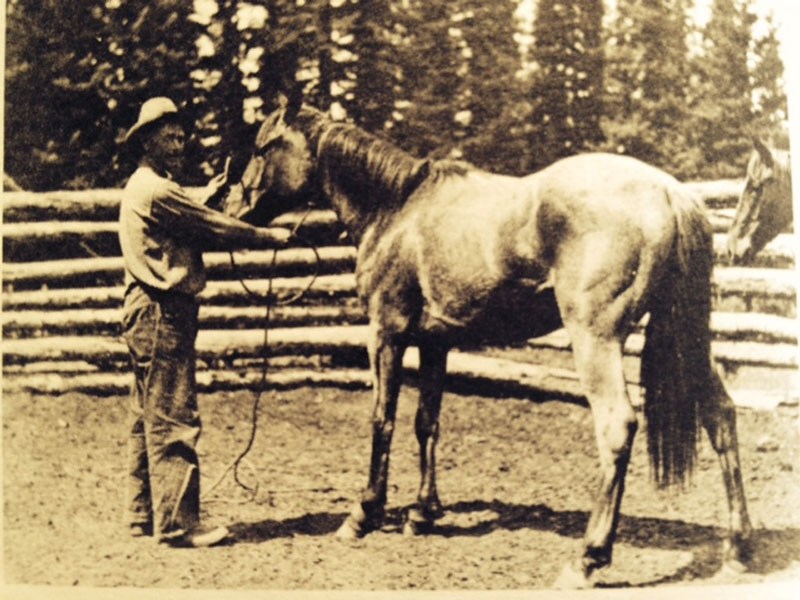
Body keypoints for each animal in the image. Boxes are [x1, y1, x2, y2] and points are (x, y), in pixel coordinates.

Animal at [223, 96, 752, 588]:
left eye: (261, 147)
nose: (233, 206)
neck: (396, 209)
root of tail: (670, 193)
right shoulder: (434, 342)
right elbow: (426, 423)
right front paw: (422, 513)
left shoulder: (387, 332)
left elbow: (383, 420)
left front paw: (364, 514)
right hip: (687, 342)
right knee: (722, 418)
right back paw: (737, 549)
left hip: (596, 339)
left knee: (617, 426)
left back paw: (588, 558)